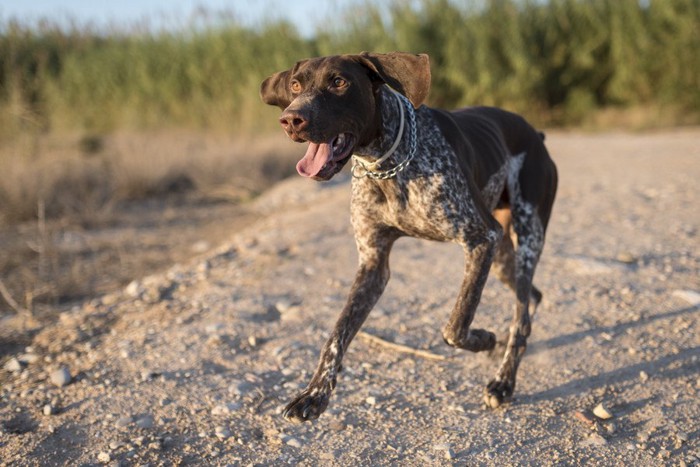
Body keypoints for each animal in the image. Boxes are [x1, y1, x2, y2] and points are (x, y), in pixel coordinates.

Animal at [258, 52, 556, 424]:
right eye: (296, 85)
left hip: (526, 233)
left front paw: (483, 338)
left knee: (521, 316)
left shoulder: (481, 237)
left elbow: (455, 326)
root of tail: (536, 134)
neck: (388, 166)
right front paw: (315, 392)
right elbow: (337, 334)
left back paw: (503, 380)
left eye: (339, 82)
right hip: (503, 256)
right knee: (530, 299)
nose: (291, 119)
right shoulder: (374, 263)